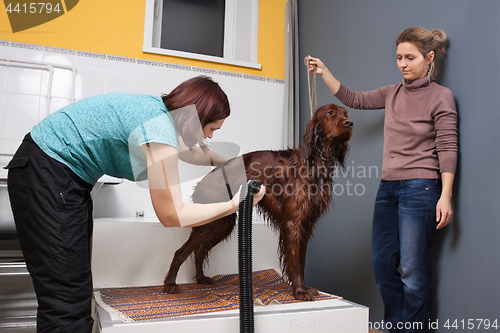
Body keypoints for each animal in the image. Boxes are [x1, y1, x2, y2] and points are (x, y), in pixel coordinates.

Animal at [163, 102, 352, 300]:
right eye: (331, 112)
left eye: (346, 114)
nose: (350, 123)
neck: (314, 163)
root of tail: (204, 181)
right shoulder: (293, 223)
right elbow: (294, 260)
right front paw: (300, 291)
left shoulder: (307, 224)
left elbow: (301, 261)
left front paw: (305, 287)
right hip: (212, 222)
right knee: (181, 252)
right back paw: (170, 283)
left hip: (222, 223)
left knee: (199, 252)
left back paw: (201, 279)